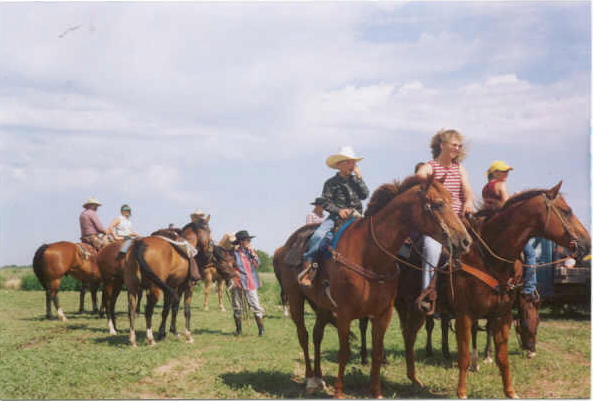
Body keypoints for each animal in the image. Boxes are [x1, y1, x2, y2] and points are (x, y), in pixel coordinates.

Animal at [272, 176, 472, 396]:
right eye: (438, 204)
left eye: (451, 199)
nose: (465, 241)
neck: (369, 255)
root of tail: (287, 246)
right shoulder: (344, 314)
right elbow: (344, 352)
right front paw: (339, 391)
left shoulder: (383, 314)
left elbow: (377, 351)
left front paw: (376, 391)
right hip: (295, 299)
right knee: (304, 336)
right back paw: (309, 379)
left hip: (322, 306)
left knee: (317, 335)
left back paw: (318, 378)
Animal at [396, 181, 588, 396]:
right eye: (567, 211)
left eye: (538, 322)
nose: (586, 243)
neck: (488, 259)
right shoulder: (464, 315)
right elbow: (463, 356)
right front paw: (462, 392)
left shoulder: (501, 315)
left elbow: (502, 358)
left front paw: (510, 391)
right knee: (409, 334)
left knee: (412, 333)